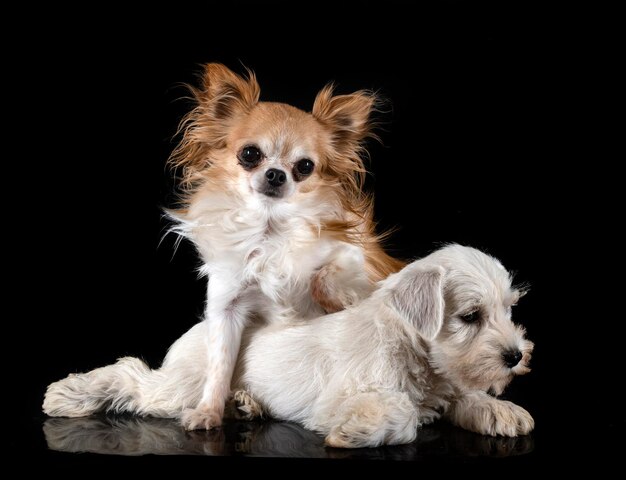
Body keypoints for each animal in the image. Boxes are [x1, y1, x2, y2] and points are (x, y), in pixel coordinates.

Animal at [44, 246, 532, 448]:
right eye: (470, 316)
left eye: (509, 309)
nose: (515, 356)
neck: (411, 350)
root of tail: (208, 325)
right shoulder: (339, 398)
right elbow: (402, 410)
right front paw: (360, 430)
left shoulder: (446, 383)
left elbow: (463, 395)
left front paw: (503, 411)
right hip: (182, 387)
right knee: (131, 375)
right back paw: (67, 394)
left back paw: (244, 404)